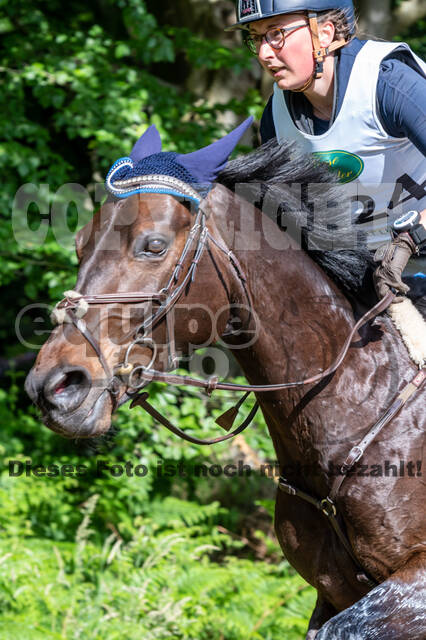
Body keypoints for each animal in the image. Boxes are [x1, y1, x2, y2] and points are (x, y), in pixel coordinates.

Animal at [25, 121, 425, 639]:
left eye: (154, 245)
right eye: (79, 246)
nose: (54, 387)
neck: (358, 404)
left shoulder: (408, 585)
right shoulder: (333, 592)